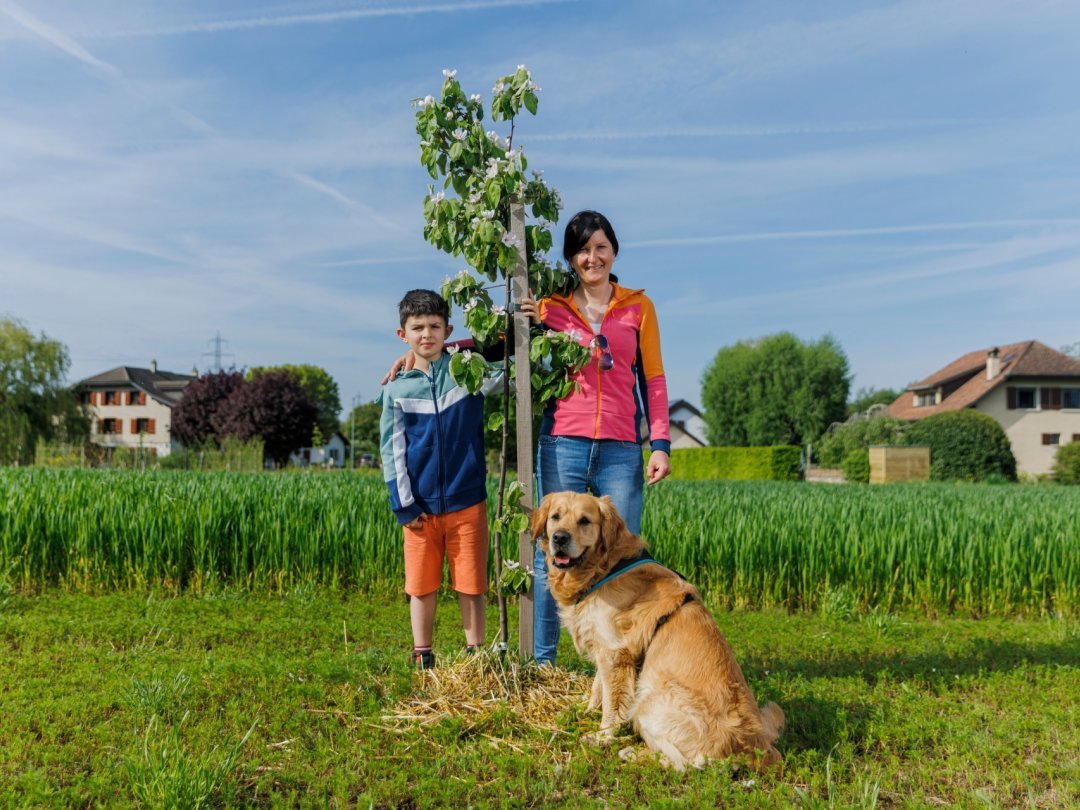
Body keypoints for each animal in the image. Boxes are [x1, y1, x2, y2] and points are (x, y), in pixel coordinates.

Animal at [533, 492, 781, 768]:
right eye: (555, 517)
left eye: (585, 520)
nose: (560, 538)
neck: (603, 568)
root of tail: (756, 750)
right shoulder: (604, 646)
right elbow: (599, 687)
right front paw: (585, 709)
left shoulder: (615, 652)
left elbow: (612, 703)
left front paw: (602, 736)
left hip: (649, 699)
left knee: (685, 763)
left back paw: (632, 753)